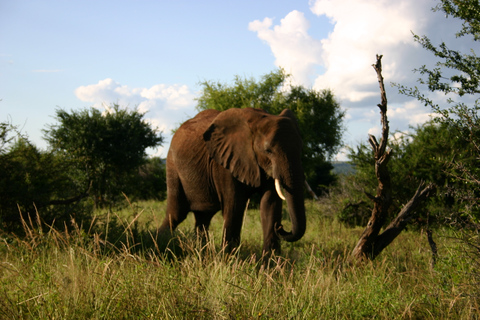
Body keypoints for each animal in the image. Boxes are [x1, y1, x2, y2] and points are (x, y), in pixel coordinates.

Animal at [159, 109, 306, 254]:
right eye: (268, 151)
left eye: (301, 149)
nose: (280, 227)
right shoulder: (224, 163)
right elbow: (235, 206)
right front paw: (228, 258)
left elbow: (270, 204)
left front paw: (271, 262)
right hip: (172, 166)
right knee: (176, 214)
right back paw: (161, 243)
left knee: (203, 218)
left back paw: (201, 253)